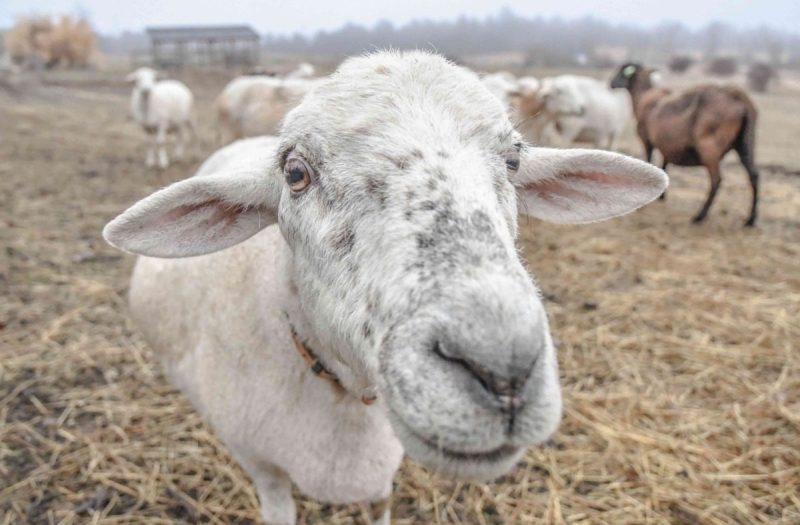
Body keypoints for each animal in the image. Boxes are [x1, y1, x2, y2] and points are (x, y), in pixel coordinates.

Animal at [611, 63, 760, 226]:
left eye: (622, 72)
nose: (611, 83)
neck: (643, 95)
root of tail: (738, 97)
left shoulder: (647, 141)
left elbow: (650, 162)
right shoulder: (667, 146)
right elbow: (664, 166)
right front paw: (662, 196)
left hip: (709, 147)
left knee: (716, 180)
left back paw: (700, 216)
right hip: (746, 143)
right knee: (754, 175)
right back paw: (751, 219)